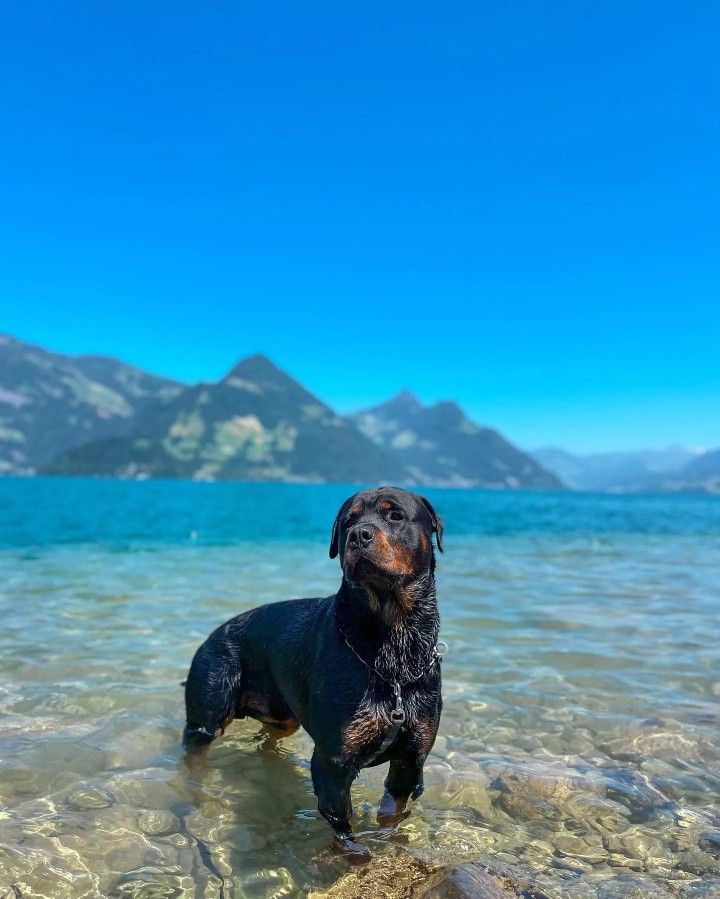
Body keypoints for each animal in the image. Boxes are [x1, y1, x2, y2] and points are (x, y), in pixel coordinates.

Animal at [183, 486, 442, 852]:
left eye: (395, 516)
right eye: (348, 521)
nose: (358, 535)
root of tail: (213, 634)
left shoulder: (410, 759)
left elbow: (391, 814)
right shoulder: (333, 763)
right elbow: (343, 827)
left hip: (283, 715)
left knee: (270, 741)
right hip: (208, 705)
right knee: (196, 750)